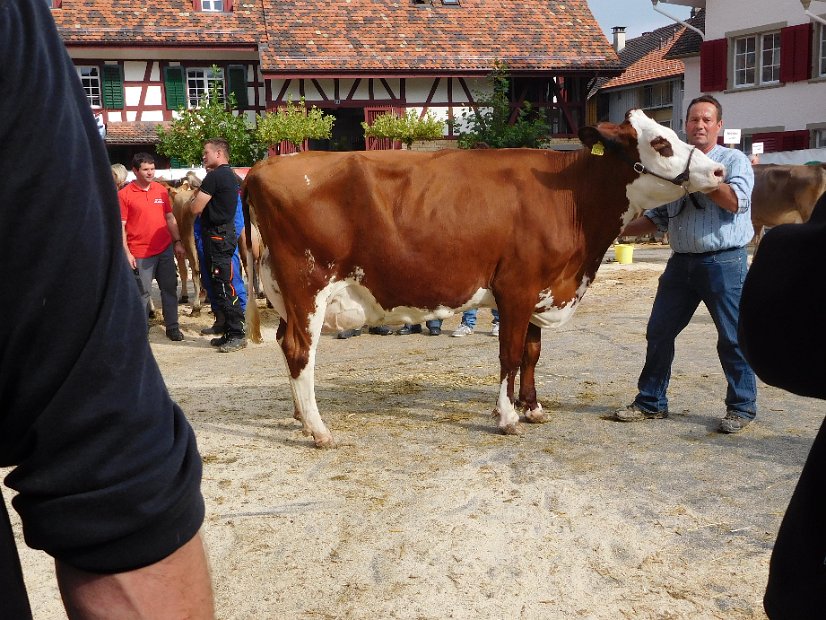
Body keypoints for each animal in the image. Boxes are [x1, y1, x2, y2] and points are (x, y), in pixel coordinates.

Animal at [240, 106, 720, 446]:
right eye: (660, 142)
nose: (716, 171)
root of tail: (262, 169)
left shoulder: (538, 290)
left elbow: (531, 353)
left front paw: (532, 408)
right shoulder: (517, 288)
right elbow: (509, 355)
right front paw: (507, 418)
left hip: (284, 293)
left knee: (285, 344)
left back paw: (301, 419)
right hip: (309, 287)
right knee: (300, 351)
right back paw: (319, 430)